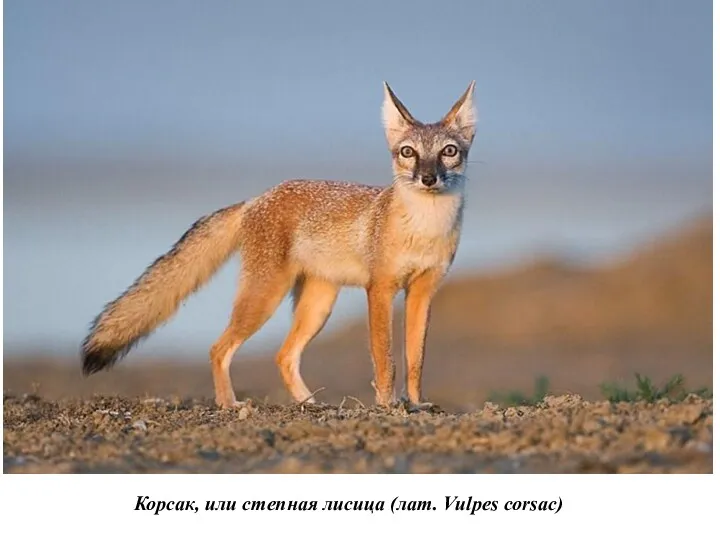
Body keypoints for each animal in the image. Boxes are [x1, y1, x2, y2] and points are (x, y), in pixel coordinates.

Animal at [81, 81, 478, 410]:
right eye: (408, 153)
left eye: (449, 151)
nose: (427, 178)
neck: (425, 229)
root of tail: (255, 199)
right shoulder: (380, 289)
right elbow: (386, 359)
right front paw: (387, 404)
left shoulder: (423, 291)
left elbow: (416, 360)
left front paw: (417, 404)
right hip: (265, 298)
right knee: (219, 349)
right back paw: (230, 404)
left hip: (318, 305)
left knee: (283, 356)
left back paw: (308, 403)